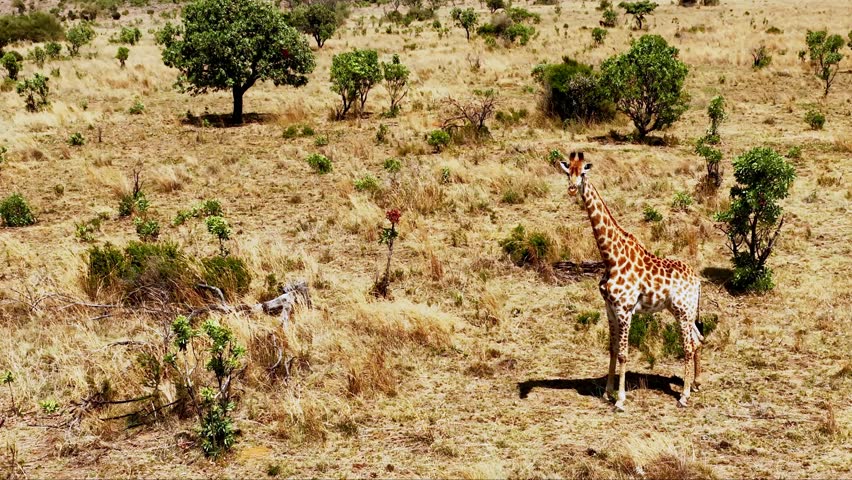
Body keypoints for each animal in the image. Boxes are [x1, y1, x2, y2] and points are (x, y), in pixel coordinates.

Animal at [559, 151, 704, 411]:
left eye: (583, 172)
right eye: (568, 172)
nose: (572, 189)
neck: (611, 258)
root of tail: (697, 280)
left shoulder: (625, 309)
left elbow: (624, 353)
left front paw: (620, 399)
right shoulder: (609, 307)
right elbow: (612, 349)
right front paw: (607, 393)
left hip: (683, 311)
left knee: (688, 346)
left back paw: (684, 396)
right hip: (682, 311)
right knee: (698, 340)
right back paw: (695, 385)